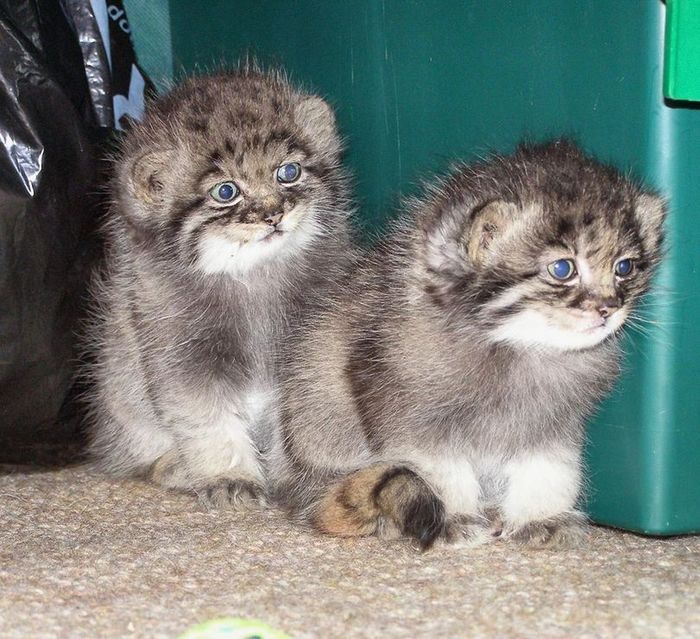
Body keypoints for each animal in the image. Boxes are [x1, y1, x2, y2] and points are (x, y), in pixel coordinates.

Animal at [85, 66, 352, 504]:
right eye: (226, 191)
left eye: (288, 172)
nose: (274, 215)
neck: (253, 281)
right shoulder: (184, 356)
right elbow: (209, 421)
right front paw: (231, 477)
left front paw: (295, 475)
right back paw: (175, 468)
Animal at [270, 141, 664, 552]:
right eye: (562, 269)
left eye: (624, 267)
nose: (609, 309)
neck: (516, 346)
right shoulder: (413, 415)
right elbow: (440, 472)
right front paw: (454, 517)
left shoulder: (550, 421)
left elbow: (550, 467)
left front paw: (541, 517)